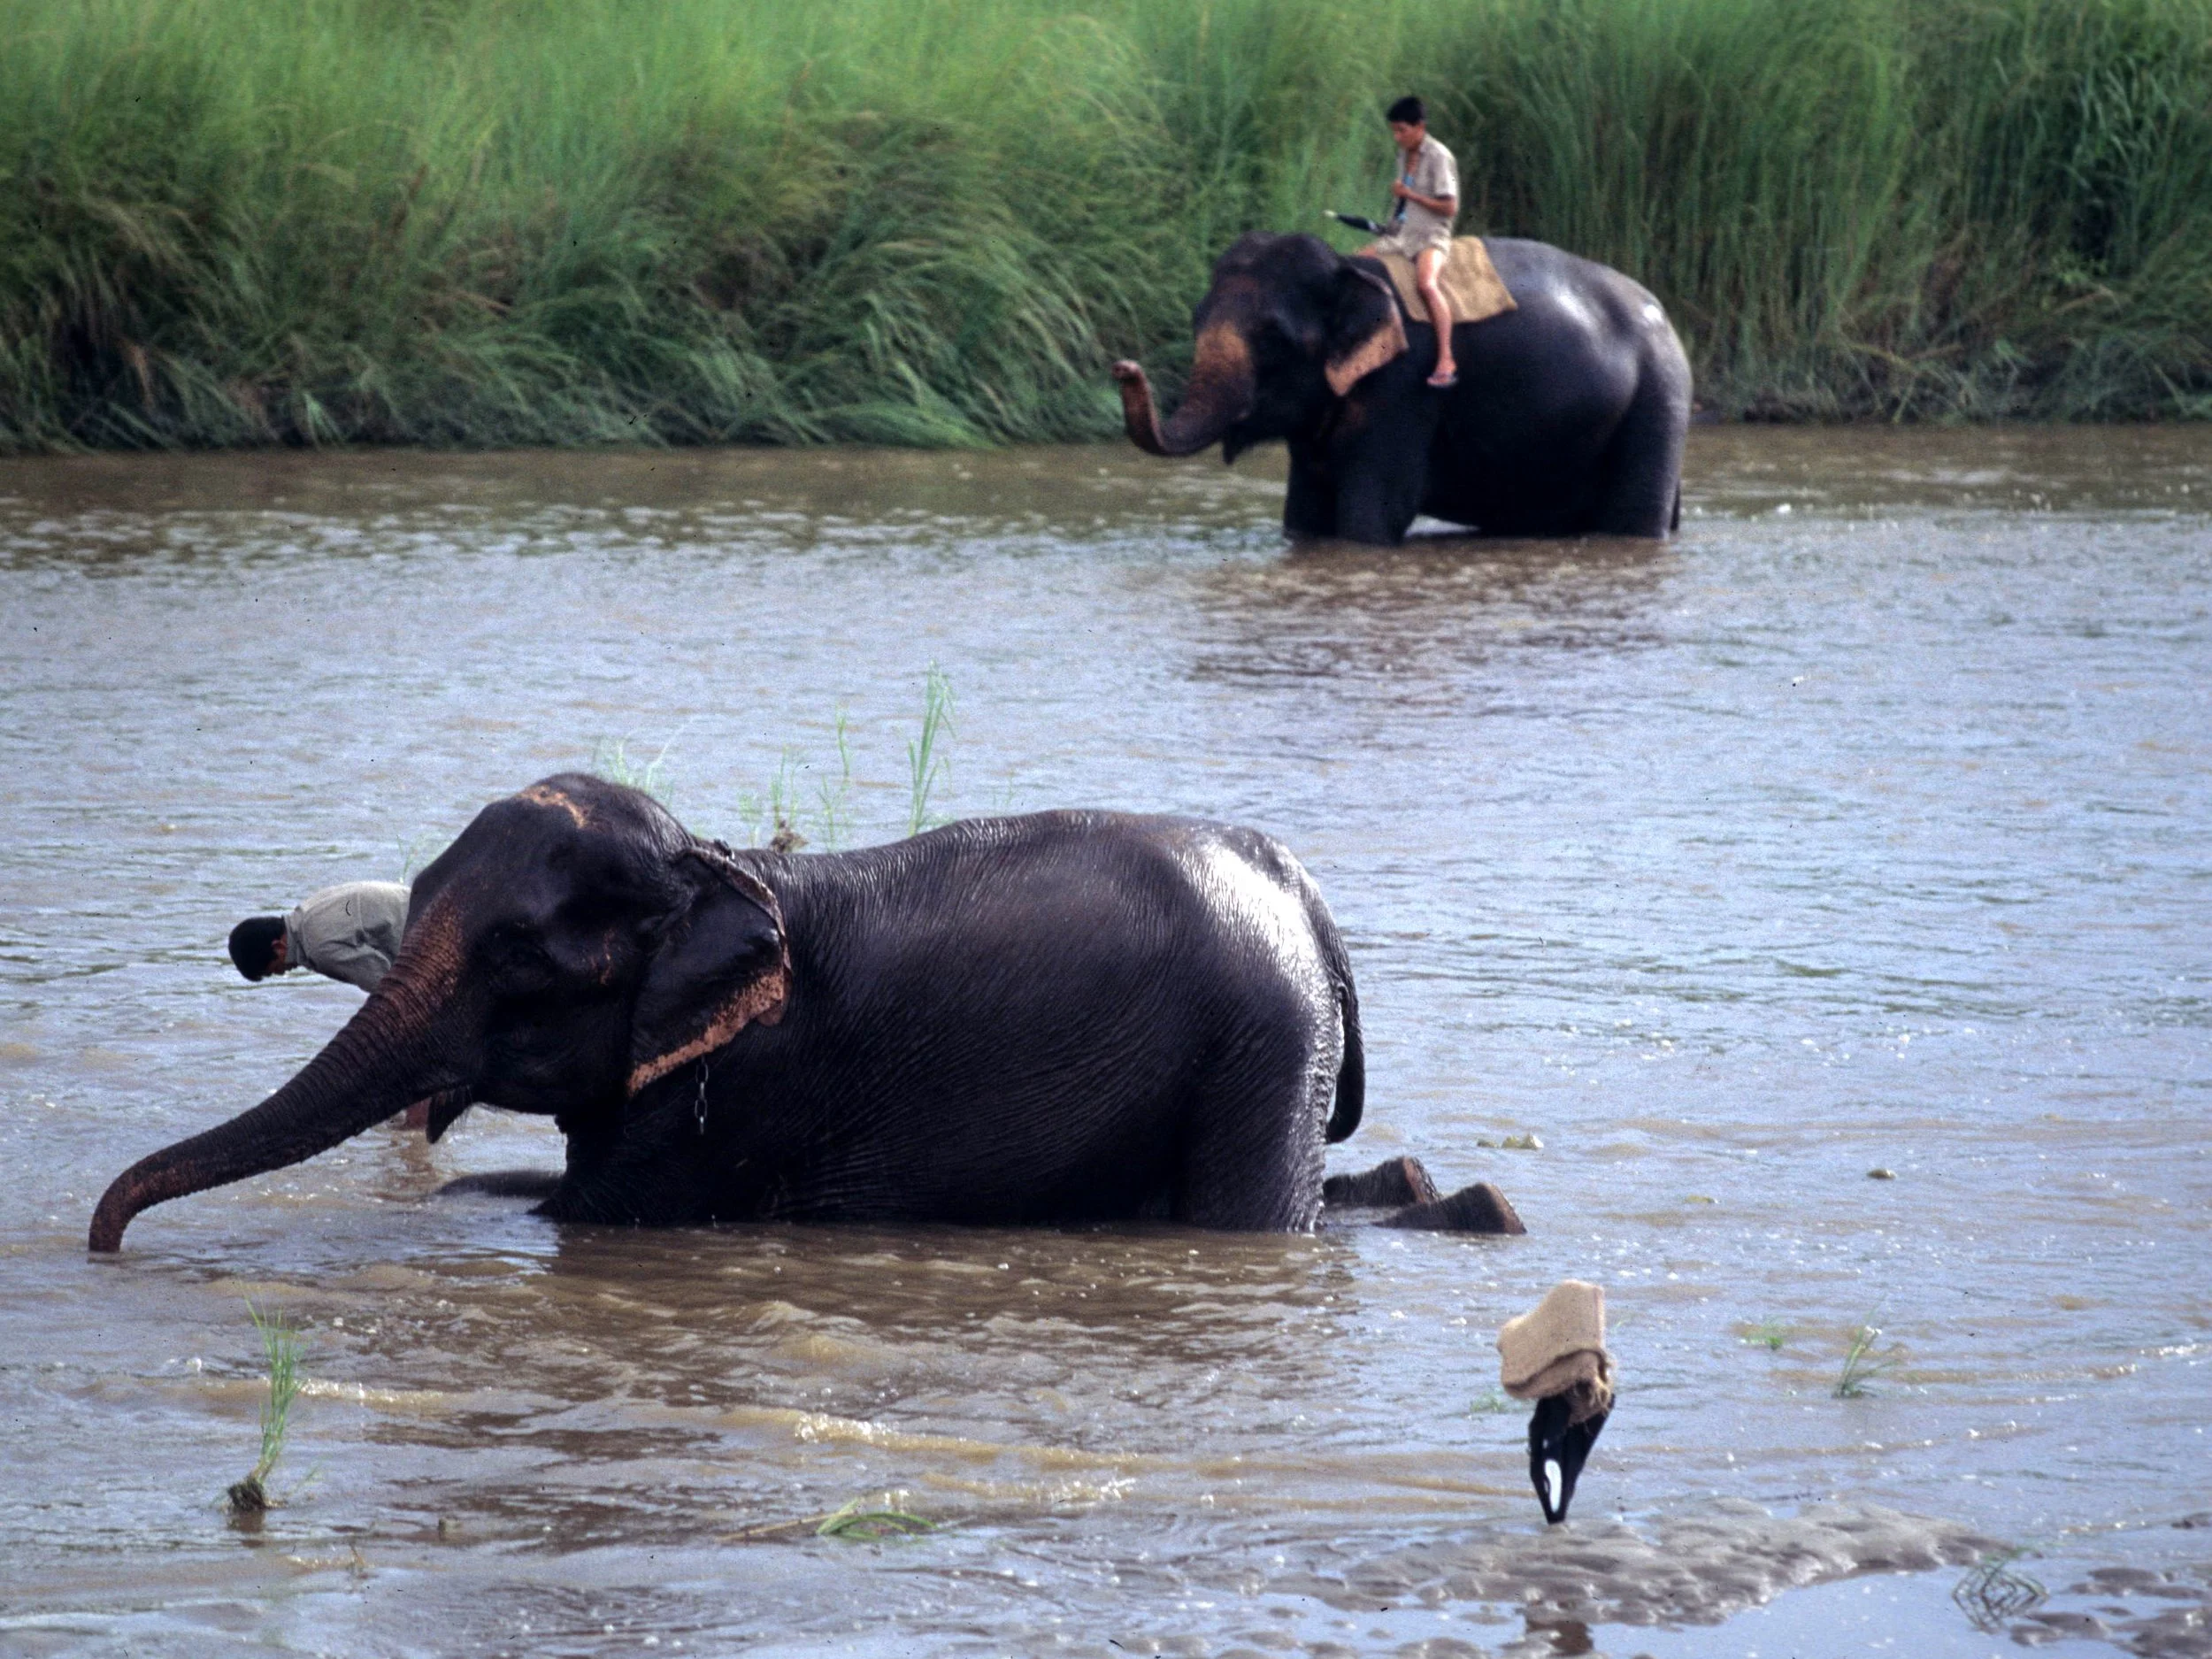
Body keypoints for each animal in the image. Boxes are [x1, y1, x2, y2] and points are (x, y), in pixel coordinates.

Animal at [92, 775, 1388, 1251]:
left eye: (518, 956)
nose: (103, 1241)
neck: (715, 869)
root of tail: (1310, 899)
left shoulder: (730, 1090)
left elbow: (590, 1214)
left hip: (1263, 1049)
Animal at [1111, 232, 1692, 546]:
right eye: (1195, 319)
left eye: (1274, 338)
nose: (1122, 366)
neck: (1352, 270)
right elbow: (1303, 516)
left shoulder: (1406, 388)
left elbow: (1375, 513)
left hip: (1659, 400)